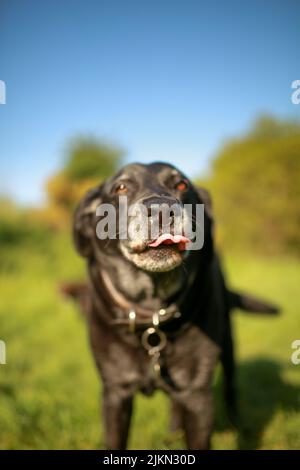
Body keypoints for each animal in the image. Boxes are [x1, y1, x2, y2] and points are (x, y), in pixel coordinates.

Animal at [71, 163, 278, 450]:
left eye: (181, 185)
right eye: (121, 187)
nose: (162, 209)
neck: (151, 313)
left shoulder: (198, 395)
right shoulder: (115, 391)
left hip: (228, 344)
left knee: (230, 386)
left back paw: (238, 424)